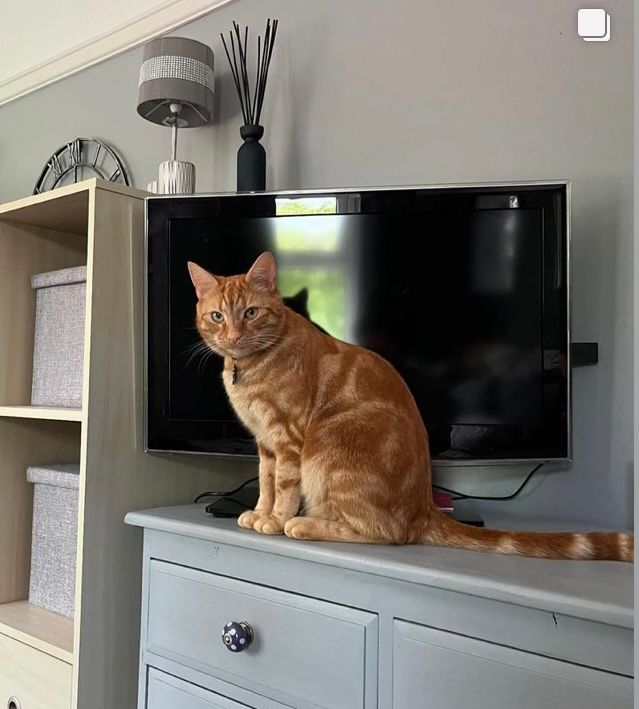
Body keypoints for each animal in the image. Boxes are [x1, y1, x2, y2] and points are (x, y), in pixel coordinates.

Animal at [187, 252, 633, 561]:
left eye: (250, 312)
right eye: (217, 316)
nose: (232, 335)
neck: (251, 365)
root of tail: (424, 508)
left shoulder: (288, 438)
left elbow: (283, 486)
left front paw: (276, 519)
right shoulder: (265, 443)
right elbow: (265, 482)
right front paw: (259, 512)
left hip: (329, 446)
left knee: (384, 532)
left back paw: (302, 523)